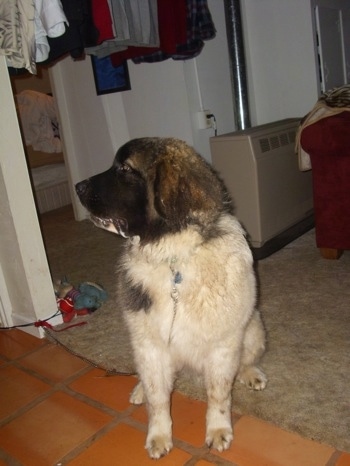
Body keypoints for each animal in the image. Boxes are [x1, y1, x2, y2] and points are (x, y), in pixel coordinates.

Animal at [76, 137, 266, 458]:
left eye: (125, 169)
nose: (77, 186)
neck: (173, 258)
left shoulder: (223, 344)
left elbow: (218, 393)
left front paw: (218, 429)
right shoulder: (149, 345)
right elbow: (158, 398)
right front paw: (159, 435)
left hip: (253, 329)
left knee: (246, 360)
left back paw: (250, 373)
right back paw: (139, 389)